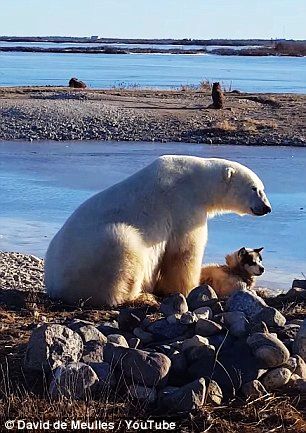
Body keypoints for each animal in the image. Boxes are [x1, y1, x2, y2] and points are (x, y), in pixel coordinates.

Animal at [44, 157, 272, 306]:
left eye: (262, 188)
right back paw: (140, 296)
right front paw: (188, 288)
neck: (197, 182)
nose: (267, 208)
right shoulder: (183, 206)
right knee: (123, 249)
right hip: (97, 251)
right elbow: (185, 251)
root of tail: (53, 285)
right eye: (254, 188)